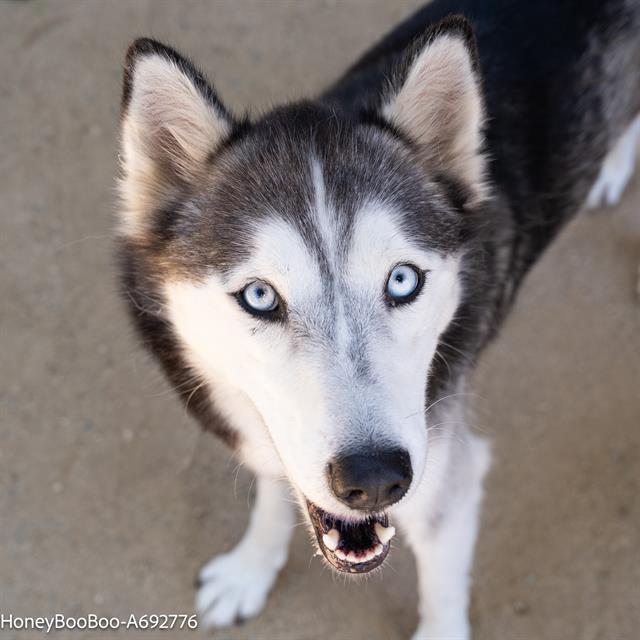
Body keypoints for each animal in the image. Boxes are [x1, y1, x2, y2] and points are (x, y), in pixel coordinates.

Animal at [116, 2, 640, 636]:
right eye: (260, 296)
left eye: (402, 280)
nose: (371, 478)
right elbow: (273, 498)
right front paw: (250, 570)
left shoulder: (447, 482)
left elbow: (441, 591)